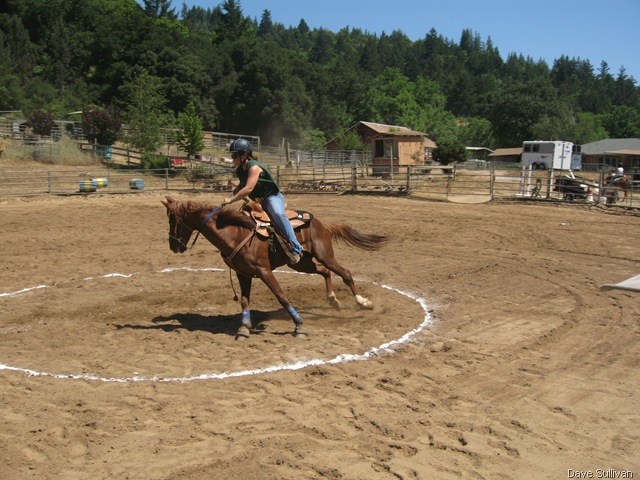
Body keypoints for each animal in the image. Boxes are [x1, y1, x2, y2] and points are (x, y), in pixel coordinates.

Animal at [162, 196, 389, 340]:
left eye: (173, 219)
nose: (173, 246)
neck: (235, 233)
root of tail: (321, 223)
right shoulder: (243, 274)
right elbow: (244, 301)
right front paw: (244, 328)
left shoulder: (264, 270)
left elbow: (281, 295)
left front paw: (299, 325)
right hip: (301, 263)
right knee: (324, 272)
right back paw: (333, 300)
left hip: (325, 255)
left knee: (345, 273)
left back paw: (363, 303)